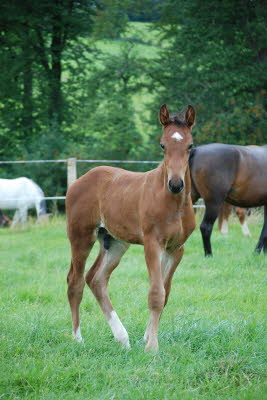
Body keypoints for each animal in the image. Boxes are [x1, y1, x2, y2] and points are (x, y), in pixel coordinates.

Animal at [67, 104, 197, 352]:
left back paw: (122, 338)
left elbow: (165, 294)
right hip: (81, 237)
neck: (172, 203)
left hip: (114, 242)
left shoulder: (176, 249)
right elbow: (156, 294)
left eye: (190, 146)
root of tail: (79, 181)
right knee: (75, 282)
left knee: (96, 279)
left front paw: (147, 338)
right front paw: (152, 348)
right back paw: (78, 339)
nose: (176, 184)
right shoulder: (152, 243)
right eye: (162, 145)